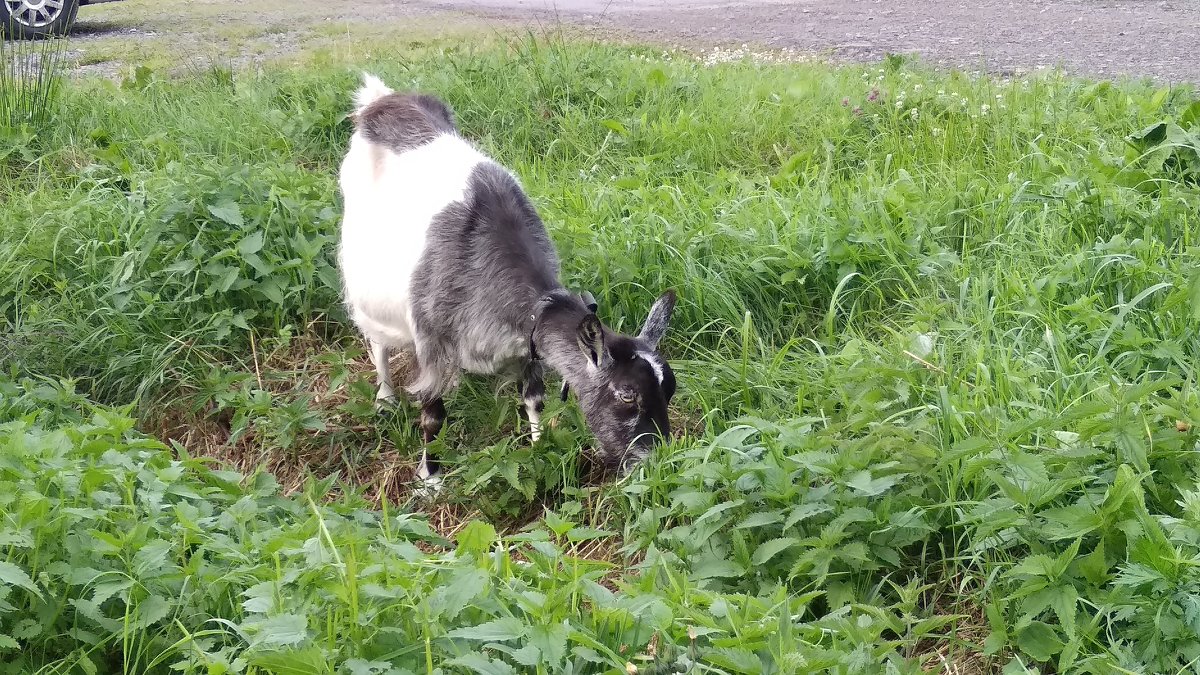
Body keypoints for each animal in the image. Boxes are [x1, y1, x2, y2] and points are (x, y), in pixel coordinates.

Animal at [338, 74, 681, 487]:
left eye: (670, 389)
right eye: (627, 394)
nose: (656, 463)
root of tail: (381, 100)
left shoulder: (526, 343)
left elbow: (534, 399)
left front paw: (538, 447)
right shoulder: (431, 343)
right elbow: (433, 414)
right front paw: (430, 479)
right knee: (377, 340)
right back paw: (385, 397)